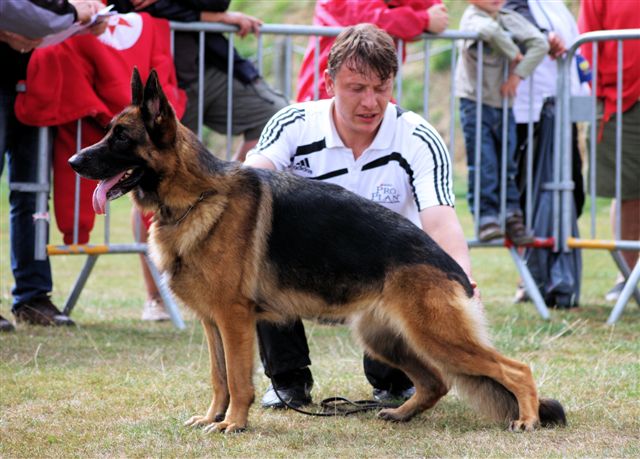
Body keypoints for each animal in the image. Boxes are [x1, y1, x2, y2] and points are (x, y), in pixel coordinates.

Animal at [70, 69, 564, 434]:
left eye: (120, 137)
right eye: (108, 133)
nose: (75, 162)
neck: (197, 196)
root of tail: (451, 267)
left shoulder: (233, 319)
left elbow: (237, 379)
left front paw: (233, 424)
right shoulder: (213, 323)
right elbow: (218, 377)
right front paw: (213, 417)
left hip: (437, 336)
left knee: (516, 369)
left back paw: (527, 419)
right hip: (387, 338)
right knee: (436, 382)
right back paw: (400, 413)